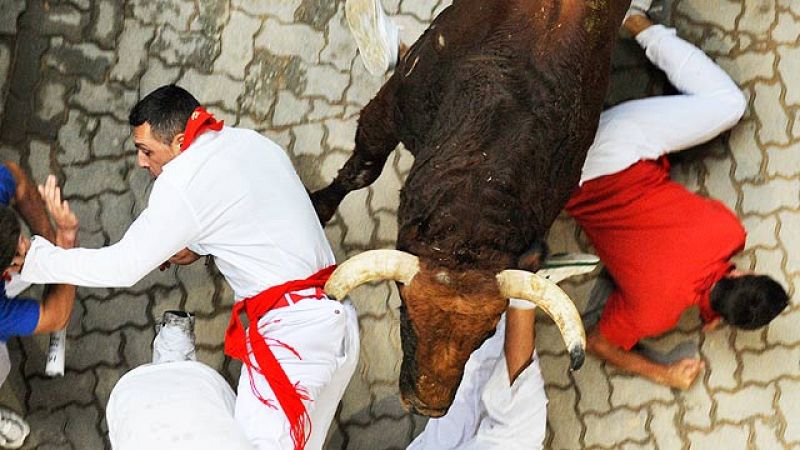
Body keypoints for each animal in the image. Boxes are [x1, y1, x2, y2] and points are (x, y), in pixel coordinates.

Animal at [312, 0, 632, 416]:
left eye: (489, 331)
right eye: (406, 313)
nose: (427, 406)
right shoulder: (388, 111)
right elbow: (361, 172)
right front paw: (317, 206)